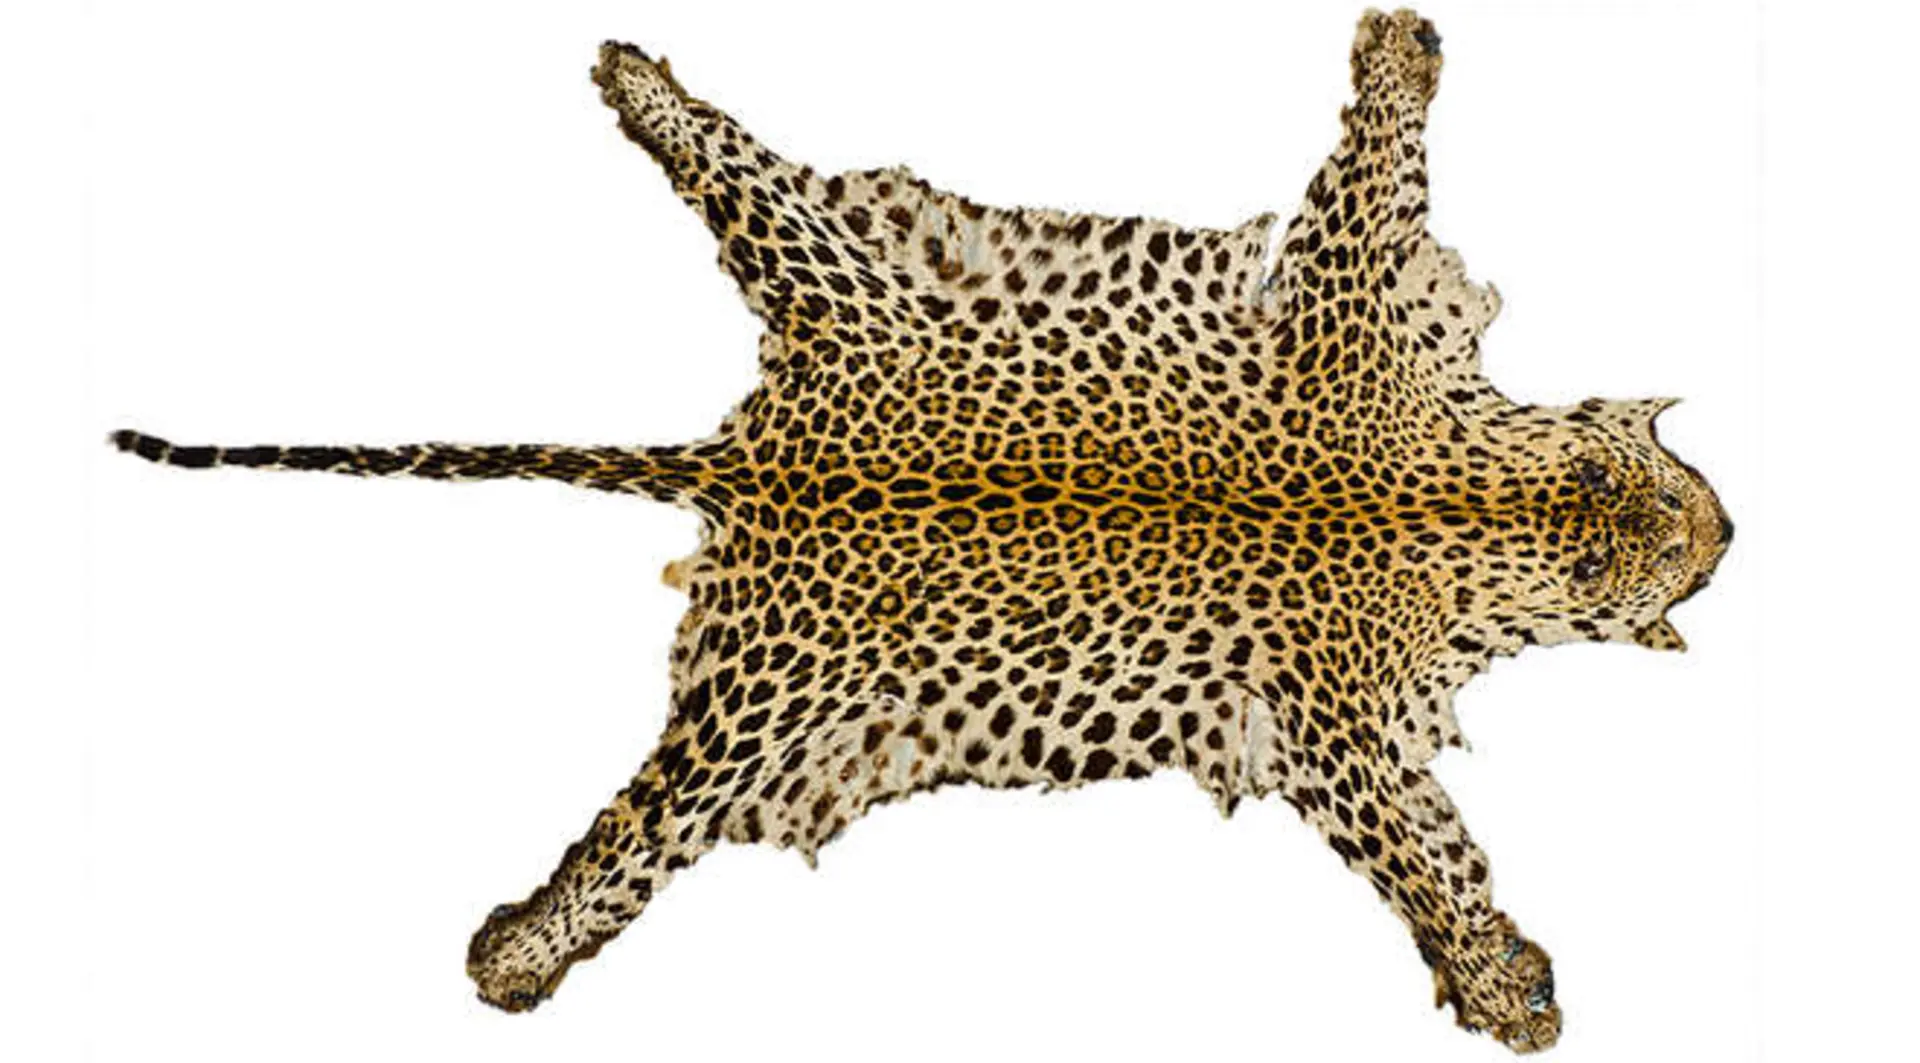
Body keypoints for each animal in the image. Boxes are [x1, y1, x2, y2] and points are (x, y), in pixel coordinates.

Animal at [111, 9, 1732, 1052]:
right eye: (1636, 525)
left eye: (1651, 481)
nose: (1720, 532)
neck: (1462, 500)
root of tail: (754, 453)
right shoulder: (1343, 677)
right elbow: (1426, 855)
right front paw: (1509, 986)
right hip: (758, 686)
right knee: (633, 839)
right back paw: (522, 946)